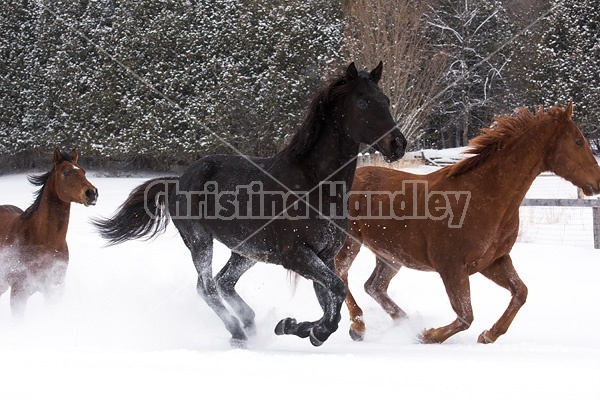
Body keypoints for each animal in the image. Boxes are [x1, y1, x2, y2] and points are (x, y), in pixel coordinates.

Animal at [0, 148, 98, 318]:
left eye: (84, 171)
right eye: (66, 172)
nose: (92, 193)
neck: (44, 240)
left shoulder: (54, 289)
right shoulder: (19, 292)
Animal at [94, 62, 406, 346]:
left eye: (386, 101)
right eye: (363, 102)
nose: (398, 145)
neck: (316, 185)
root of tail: (179, 180)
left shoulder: (324, 255)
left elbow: (333, 304)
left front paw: (294, 327)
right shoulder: (296, 255)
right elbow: (337, 292)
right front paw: (309, 330)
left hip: (247, 250)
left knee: (224, 282)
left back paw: (249, 323)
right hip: (200, 241)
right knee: (206, 287)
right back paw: (238, 333)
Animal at [336, 102, 600, 344]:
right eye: (578, 142)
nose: (597, 182)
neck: (483, 195)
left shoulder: (493, 261)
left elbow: (520, 292)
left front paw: (489, 335)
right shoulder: (451, 267)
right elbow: (465, 315)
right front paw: (429, 335)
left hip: (390, 255)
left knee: (374, 286)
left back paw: (405, 323)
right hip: (350, 242)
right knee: (341, 273)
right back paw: (359, 327)